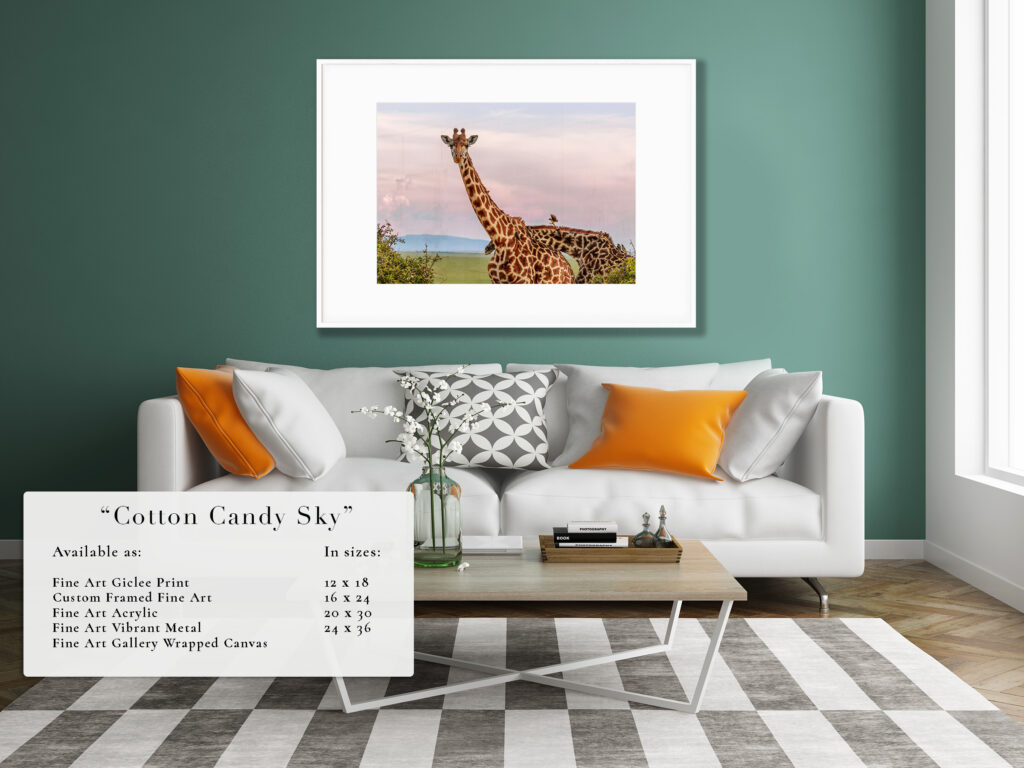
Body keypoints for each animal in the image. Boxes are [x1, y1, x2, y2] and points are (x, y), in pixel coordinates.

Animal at [440, 129, 573, 285]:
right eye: (451, 145)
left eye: (467, 145)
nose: (458, 157)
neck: (500, 238)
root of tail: (570, 271)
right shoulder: (495, 281)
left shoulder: (524, 281)